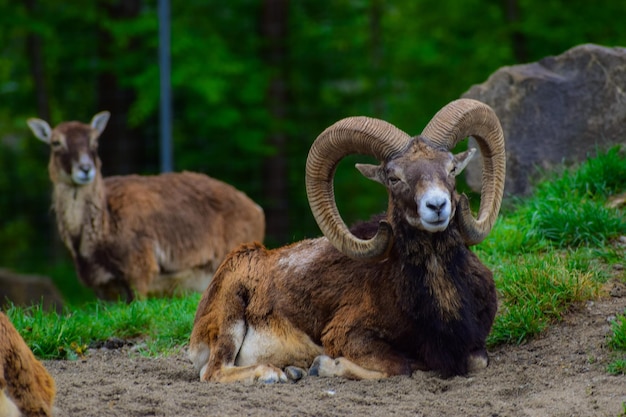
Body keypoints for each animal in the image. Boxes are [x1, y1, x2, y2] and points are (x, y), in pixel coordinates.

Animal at [26, 111, 264, 300]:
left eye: (95, 142)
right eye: (55, 143)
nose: (85, 169)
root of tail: (257, 210)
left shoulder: (140, 270)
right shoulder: (101, 286)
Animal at [188, 97, 504, 380]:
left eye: (451, 169)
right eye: (394, 178)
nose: (437, 206)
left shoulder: (474, 347)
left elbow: (476, 360)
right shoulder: (347, 335)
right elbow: (400, 367)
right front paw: (322, 366)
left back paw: (292, 370)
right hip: (230, 317)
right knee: (213, 371)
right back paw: (274, 373)